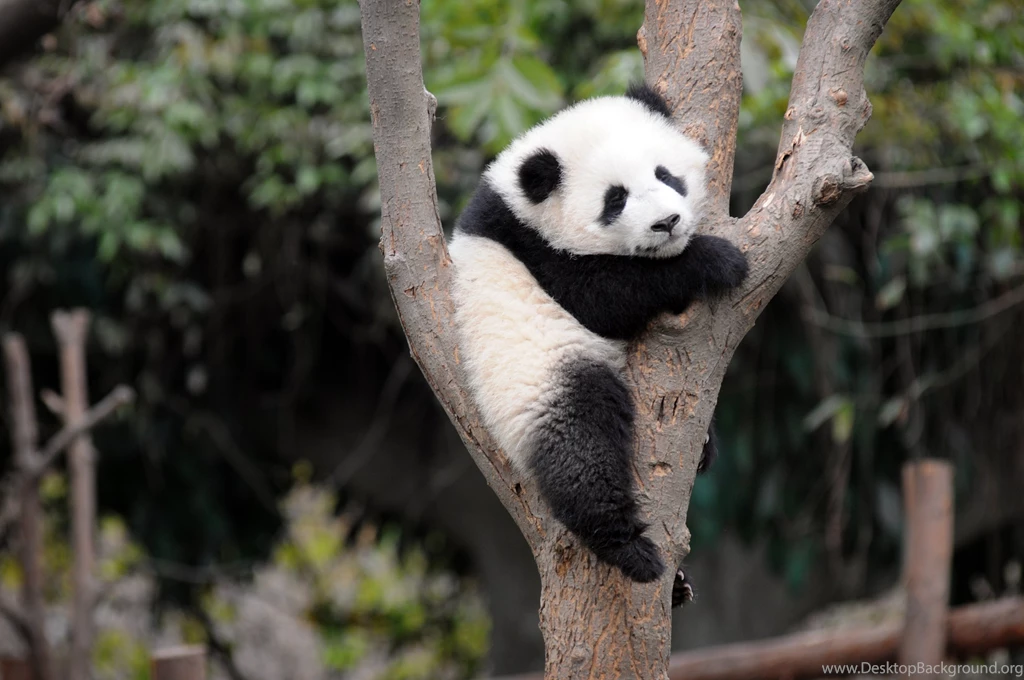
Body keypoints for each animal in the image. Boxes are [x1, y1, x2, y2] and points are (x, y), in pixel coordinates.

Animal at [447, 83, 748, 604]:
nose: (668, 222)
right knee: (580, 448)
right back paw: (630, 549)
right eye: (615, 199)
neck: (519, 201)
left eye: (665, 174)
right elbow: (602, 297)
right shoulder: (536, 251)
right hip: (535, 378)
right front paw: (717, 260)